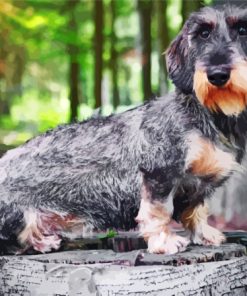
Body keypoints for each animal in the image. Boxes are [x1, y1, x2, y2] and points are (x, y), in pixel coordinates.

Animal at [0, 4, 247, 254]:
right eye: (203, 34)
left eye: (243, 30)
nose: (217, 75)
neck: (214, 114)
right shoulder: (159, 174)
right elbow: (159, 211)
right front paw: (164, 241)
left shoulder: (197, 186)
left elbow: (196, 210)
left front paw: (205, 234)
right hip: (17, 216)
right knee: (16, 239)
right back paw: (42, 241)